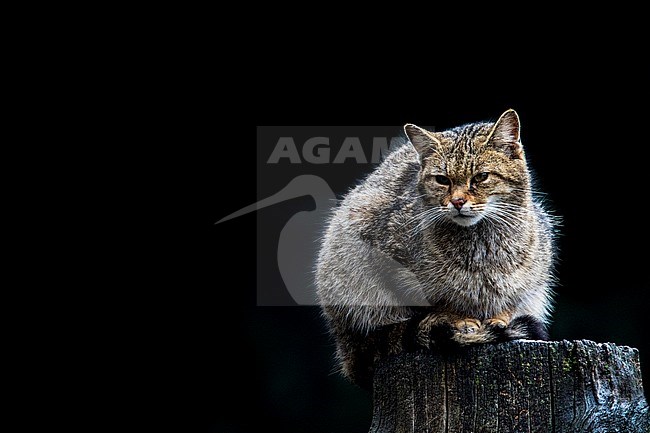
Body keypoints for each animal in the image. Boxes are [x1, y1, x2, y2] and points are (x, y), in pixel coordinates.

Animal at [316, 109, 556, 386]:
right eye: (442, 180)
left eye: (480, 177)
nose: (457, 201)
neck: (481, 244)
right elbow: (436, 304)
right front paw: (457, 318)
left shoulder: (533, 278)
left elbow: (512, 299)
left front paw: (500, 318)